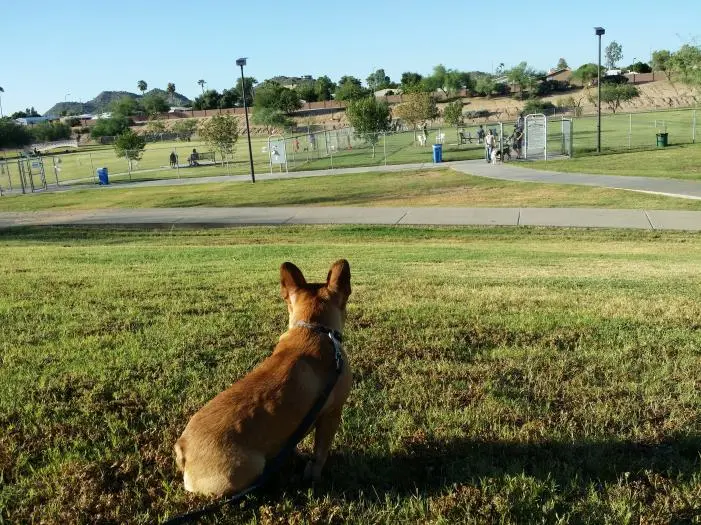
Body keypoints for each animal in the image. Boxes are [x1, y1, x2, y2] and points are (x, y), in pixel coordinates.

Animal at [173, 260, 352, 496]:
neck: (314, 328)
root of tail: (183, 449)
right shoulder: (331, 415)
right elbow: (320, 454)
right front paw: (314, 477)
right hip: (251, 466)